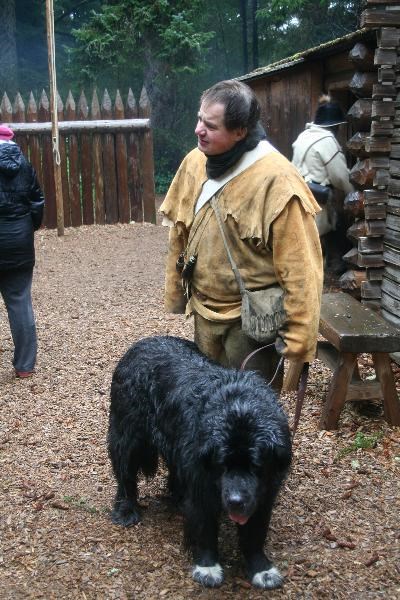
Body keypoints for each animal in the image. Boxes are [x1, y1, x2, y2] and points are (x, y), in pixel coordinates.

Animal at [108, 336, 290, 588]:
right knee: (125, 471)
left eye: (256, 467)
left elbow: (255, 531)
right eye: (222, 465)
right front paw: (208, 567)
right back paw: (126, 509)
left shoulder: (264, 491)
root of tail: (141, 343)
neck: (239, 406)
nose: (235, 501)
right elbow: (204, 525)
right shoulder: (200, 480)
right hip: (128, 430)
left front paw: (262, 569)